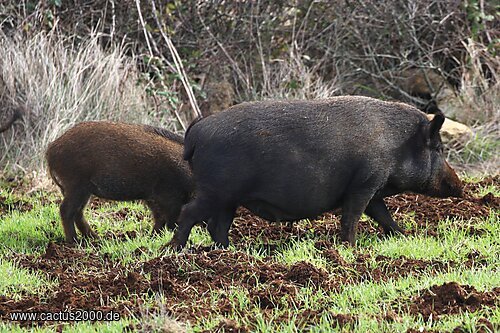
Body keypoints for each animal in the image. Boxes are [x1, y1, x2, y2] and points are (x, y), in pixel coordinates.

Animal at [170, 96, 462, 246]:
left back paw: (229, 252)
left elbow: (383, 216)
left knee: (216, 225)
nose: (460, 187)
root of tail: (196, 132)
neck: (397, 144)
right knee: (189, 214)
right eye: (438, 148)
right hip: (215, 190)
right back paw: (177, 250)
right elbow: (352, 217)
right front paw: (350, 247)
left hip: (227, 198)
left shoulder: (372, 188)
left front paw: (405, 236)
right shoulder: (364, 183)